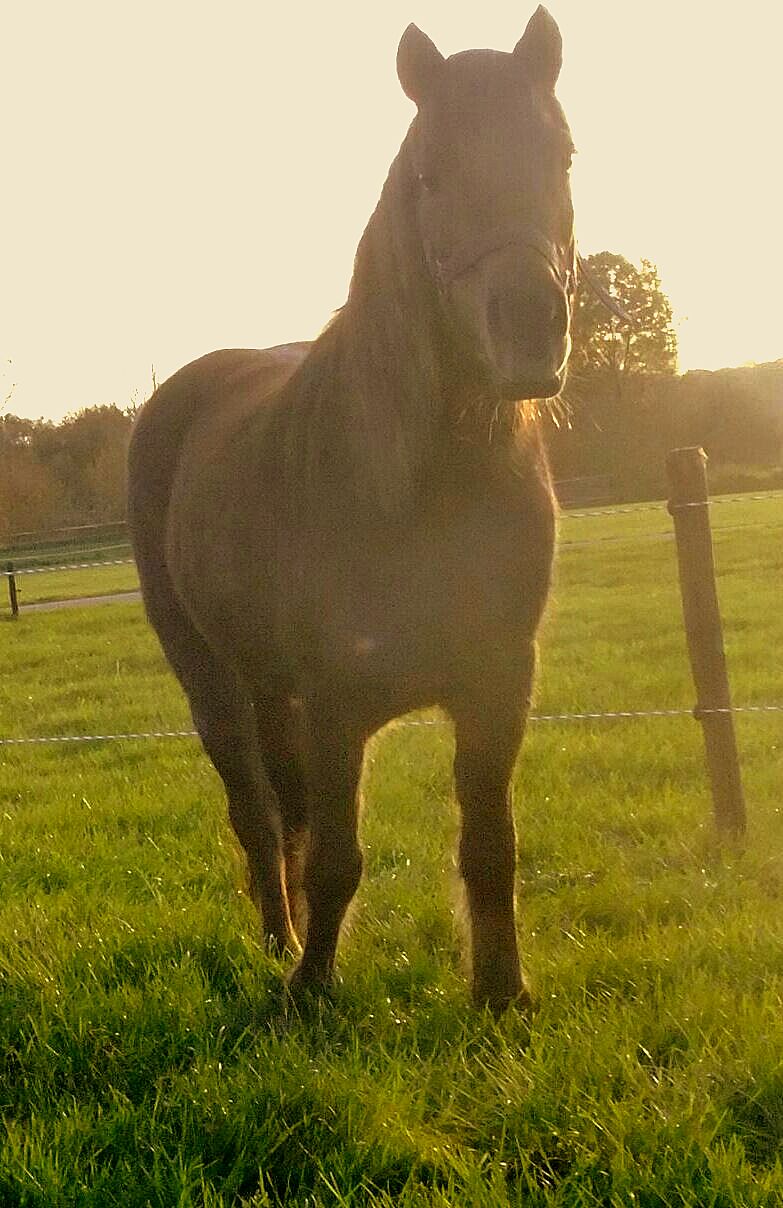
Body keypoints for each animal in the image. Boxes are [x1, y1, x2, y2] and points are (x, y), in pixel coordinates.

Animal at [127, 6, 576, 1015]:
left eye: (561, 153)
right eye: (429, 173)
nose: (529, 329)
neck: (427, 484)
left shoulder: (499, 686)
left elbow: (490, 849)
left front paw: (503, 994)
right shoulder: (336, 701)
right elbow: (339, 855)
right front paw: (310, 991)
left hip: (270, 687)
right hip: (211, 677)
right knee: (258, 814)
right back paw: (278, 946)